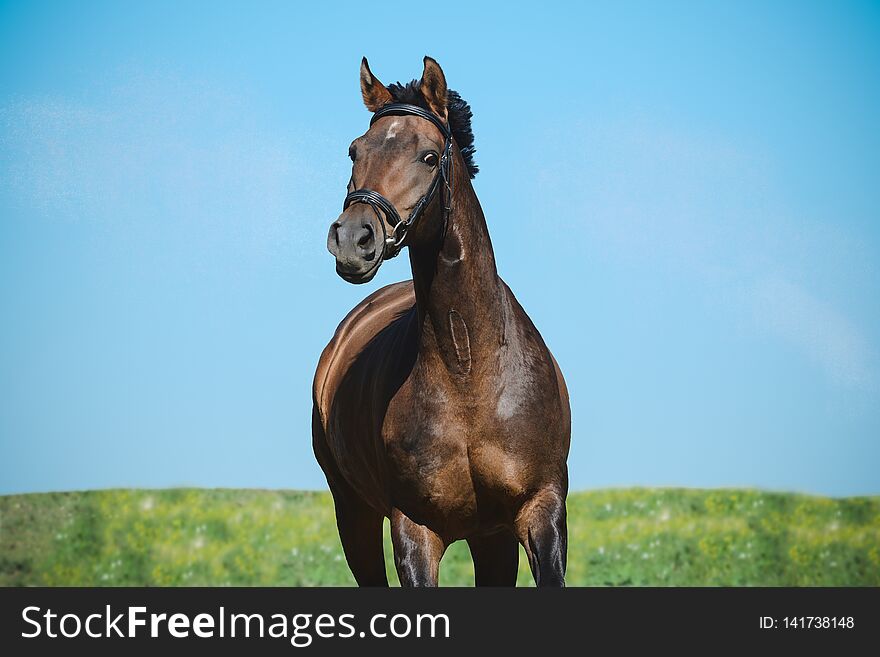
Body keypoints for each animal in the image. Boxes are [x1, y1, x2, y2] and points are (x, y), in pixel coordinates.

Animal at [310, 56, 572, 584]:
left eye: (430, 157)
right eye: (354, 151)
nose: (352, 239)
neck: (468, 367)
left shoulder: (542, 510)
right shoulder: (415, 528)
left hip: (491, 538)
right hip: (354, 515)